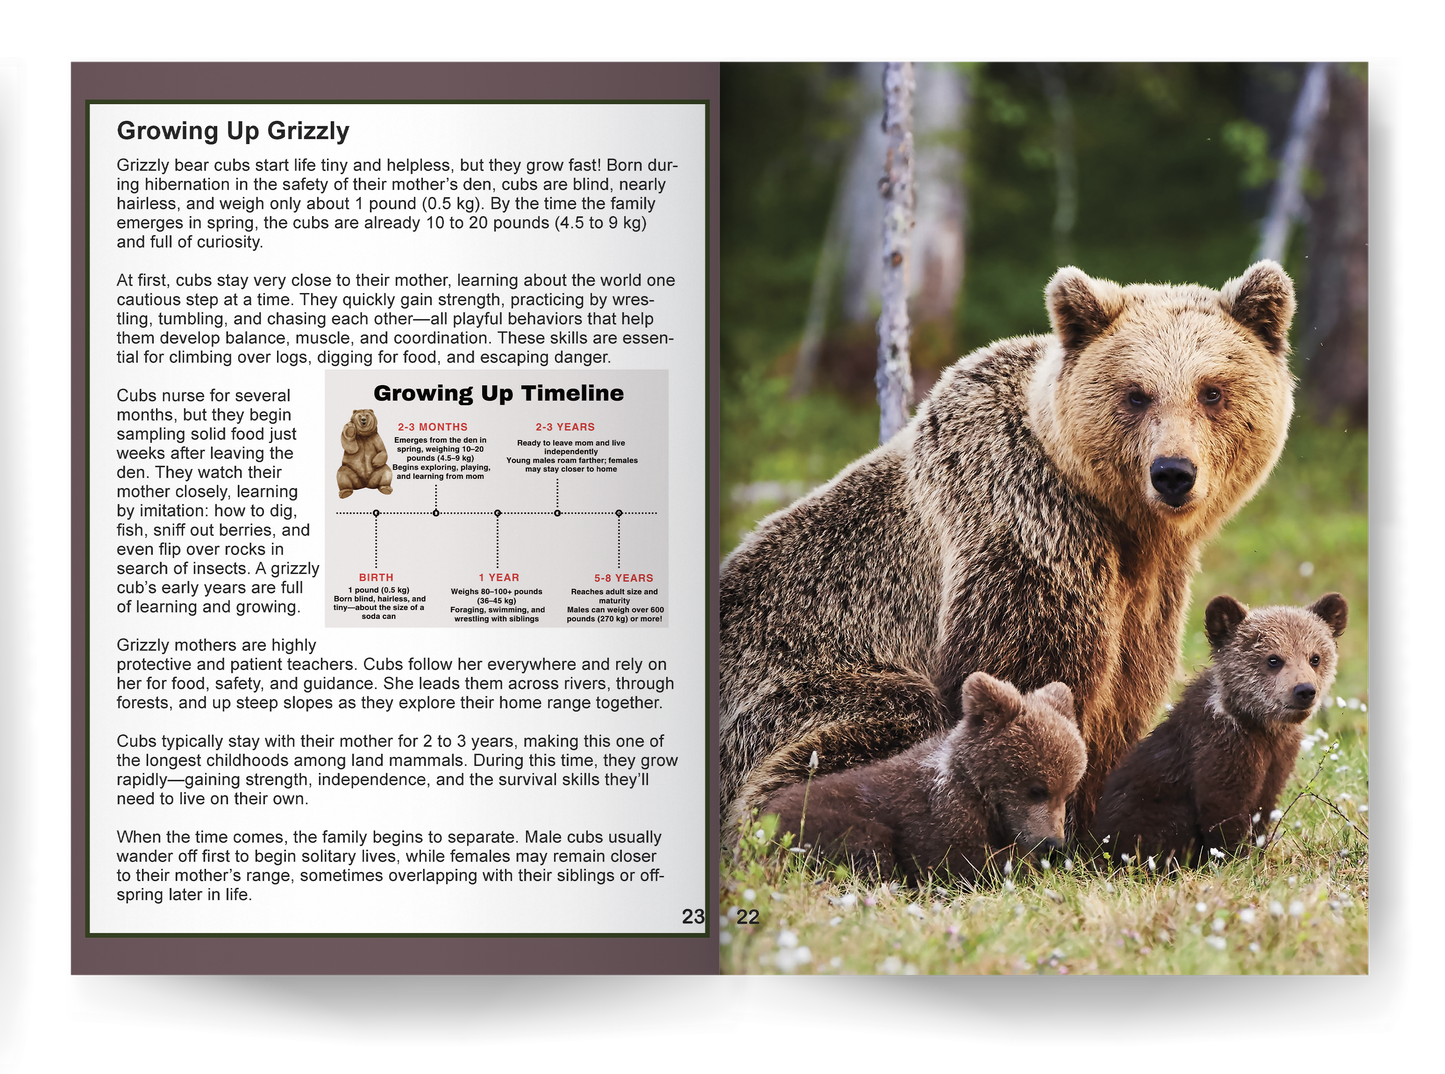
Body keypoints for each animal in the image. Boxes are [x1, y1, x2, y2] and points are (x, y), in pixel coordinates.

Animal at [721, 261, 1297, 839]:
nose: (1173, 473)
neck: (1121, 522)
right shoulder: (1027, 533)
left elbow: (1124, 699)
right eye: (1136, 393)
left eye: (1212, 391)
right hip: (793, 695)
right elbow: (1029, 681)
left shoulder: (1149, 592)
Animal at [1088, 592, 1347, 866]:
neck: (1259, 725)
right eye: (1273, 659)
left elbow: (1264, 806)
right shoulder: (1222, 751)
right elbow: (1223, 812)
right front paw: (1235, 858)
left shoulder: (1278, 759)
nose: (1305, 690)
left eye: (1315, 657)